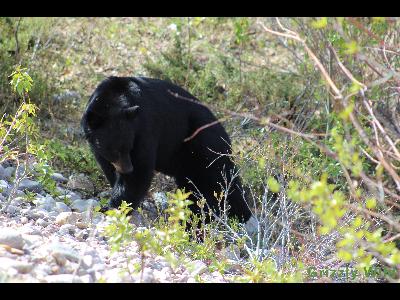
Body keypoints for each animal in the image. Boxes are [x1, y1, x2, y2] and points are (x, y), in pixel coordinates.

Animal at [80, 76, 250, 224]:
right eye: (115, 151)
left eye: (129, 147)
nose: (127, 169)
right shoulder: (97, 145)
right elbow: (107, 166)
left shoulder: (145, 128)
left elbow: (140, 170)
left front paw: (114, 207)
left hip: (204, 144)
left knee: (218, 177)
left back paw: (238, 214)